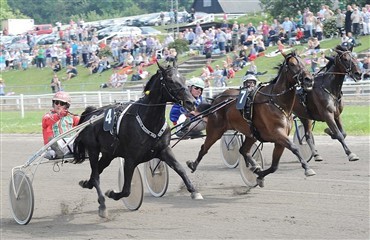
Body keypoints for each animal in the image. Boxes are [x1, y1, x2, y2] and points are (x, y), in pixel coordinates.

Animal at [73, 63, 204, 218]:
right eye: (171, 81)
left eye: (183, 79)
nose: (191, 102)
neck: (148, 120)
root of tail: (91, 113)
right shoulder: (130, 159)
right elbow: (126, 189)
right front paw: (112, 193)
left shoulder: (164, 150)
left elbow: (180, 169)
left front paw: (194, 191)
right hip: (93, 150)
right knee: (96, 176)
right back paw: (102, 205)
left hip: (108, 154)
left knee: (96, 172)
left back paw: (86, 183)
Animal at [188, 51, 316, 188]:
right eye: (292, 64)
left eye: (303, 62)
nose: (309, 79)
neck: (276, 101)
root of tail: (217, 99)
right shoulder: (277, 133)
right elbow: (294, 148)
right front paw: (307, 168)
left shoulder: (279, 138)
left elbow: (274, 166)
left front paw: (259, 174)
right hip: (215, 130)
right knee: (204, 148)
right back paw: (193, 165)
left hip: (251, 133)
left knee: (243, 150)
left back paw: (254, 166)